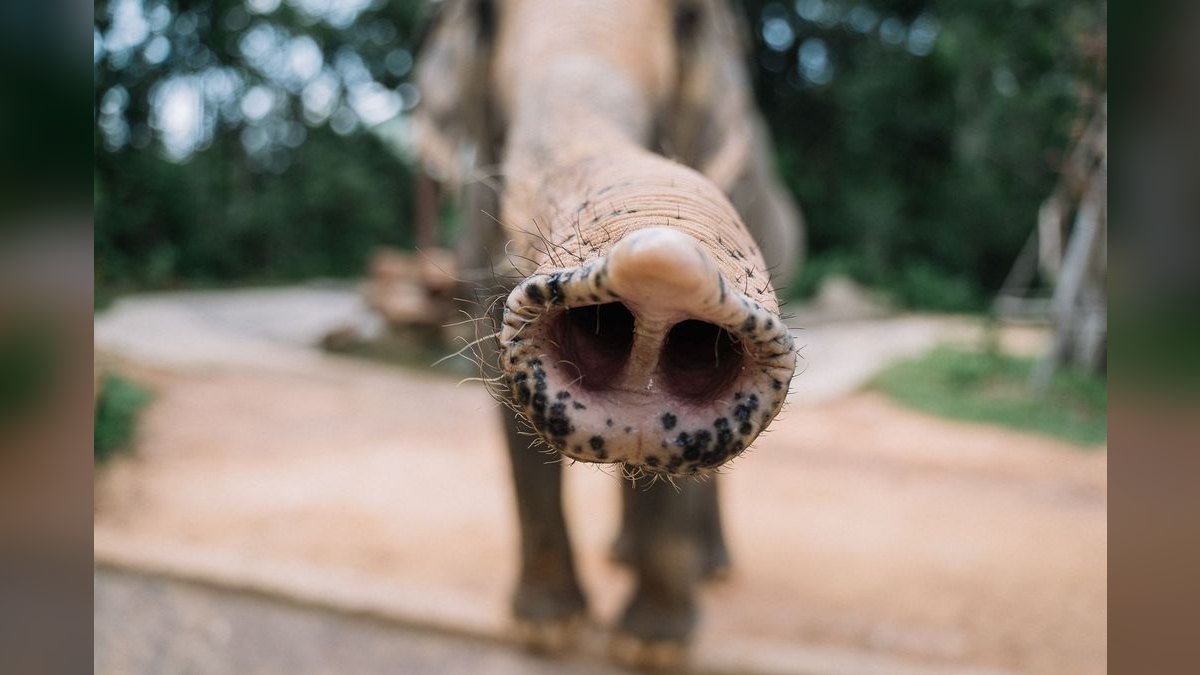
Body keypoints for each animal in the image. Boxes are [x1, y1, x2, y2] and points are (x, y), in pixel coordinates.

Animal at [410, 0, 803, 664]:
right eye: (483, 18)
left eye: (689, 21)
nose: (660, 283)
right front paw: (546, 631)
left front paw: (652, 650)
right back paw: (622, 553)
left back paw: (710, 568)